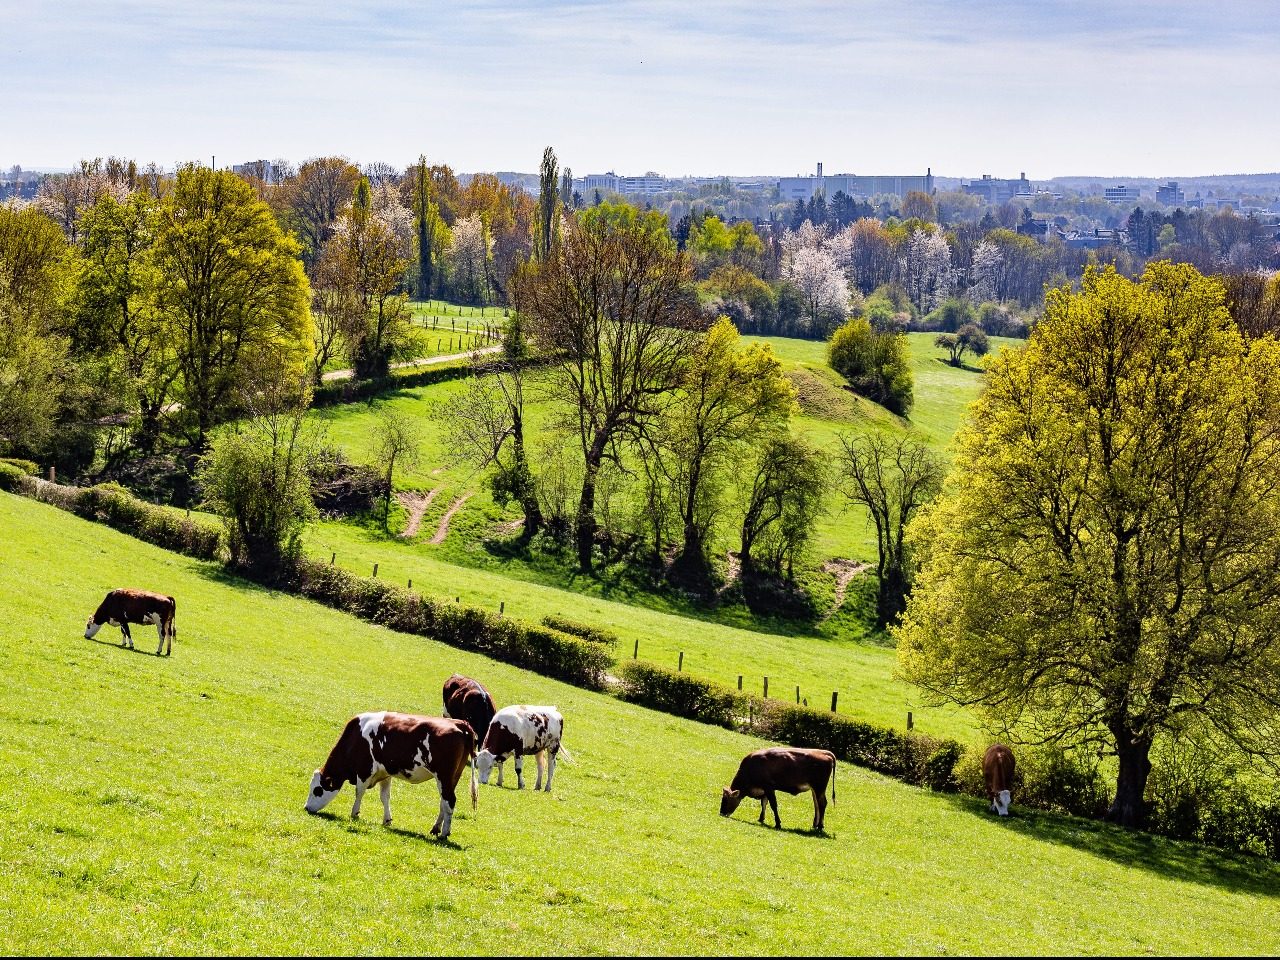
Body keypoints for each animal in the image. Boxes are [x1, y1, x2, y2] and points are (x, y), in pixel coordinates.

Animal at [304, 711, 476, 839]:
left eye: (317, 790)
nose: (306, 808)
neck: (355, 737)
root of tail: (459, 723)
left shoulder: (365, 770)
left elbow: (359, 793)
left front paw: (354, 814)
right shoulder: (385, 773)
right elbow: (385, 797)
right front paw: (387, 820)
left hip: (443, 776)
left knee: (449, 801)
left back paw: (444, 833)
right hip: (453, 777)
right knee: (444, 802)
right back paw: (435, 828)